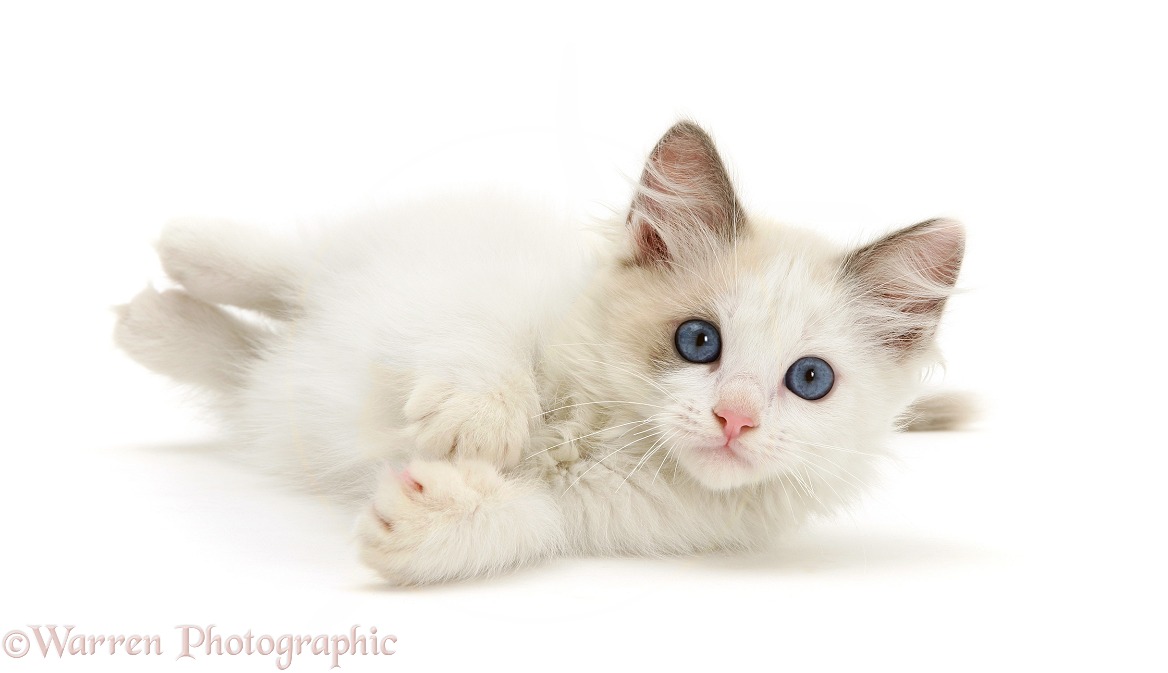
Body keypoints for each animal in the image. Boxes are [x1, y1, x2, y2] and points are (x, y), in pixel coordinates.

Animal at [113, 120, 967, 584]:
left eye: (810, 379)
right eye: (699, 341)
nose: (734, 419)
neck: (604, 428)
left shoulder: (585, 518)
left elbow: (517, 517)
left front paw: (415, 523)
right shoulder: (486, 297)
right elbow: (490, 351)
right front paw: (482, 422)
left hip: (276, 400)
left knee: (245, 356)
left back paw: (155, 322)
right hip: (385, 255)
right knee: (292, 269)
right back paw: (189, 249)